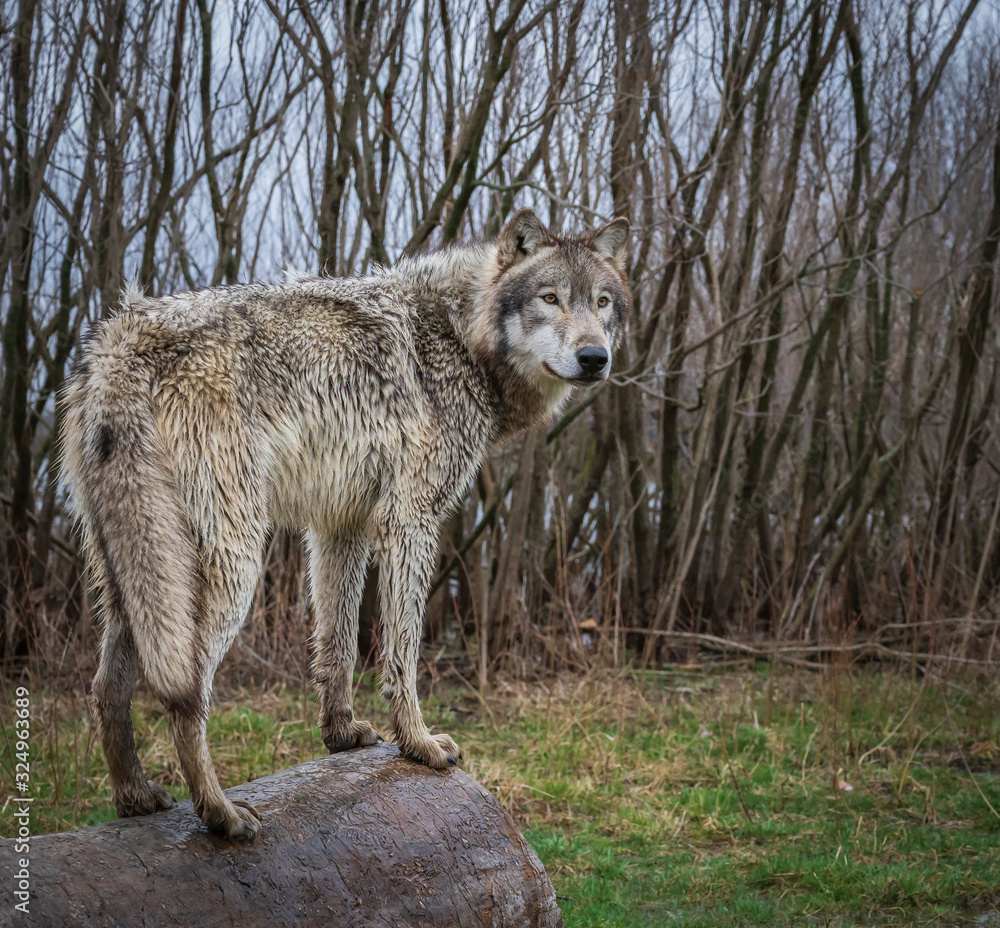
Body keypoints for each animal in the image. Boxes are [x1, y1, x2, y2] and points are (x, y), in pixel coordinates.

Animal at [62, 208, 628, 840]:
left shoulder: (342, 526)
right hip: (231, 566)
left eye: (602, 302)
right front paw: (419, 745)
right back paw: (221, 814)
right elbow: (401, 652)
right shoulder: (412, 523)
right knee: (187, 695)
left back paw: (135, 798)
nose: (595, 358)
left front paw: (340, 736)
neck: (461, 334)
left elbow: (337, 643)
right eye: (550, 298)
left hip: (137, 575)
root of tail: (121, 342)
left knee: (106, 686)